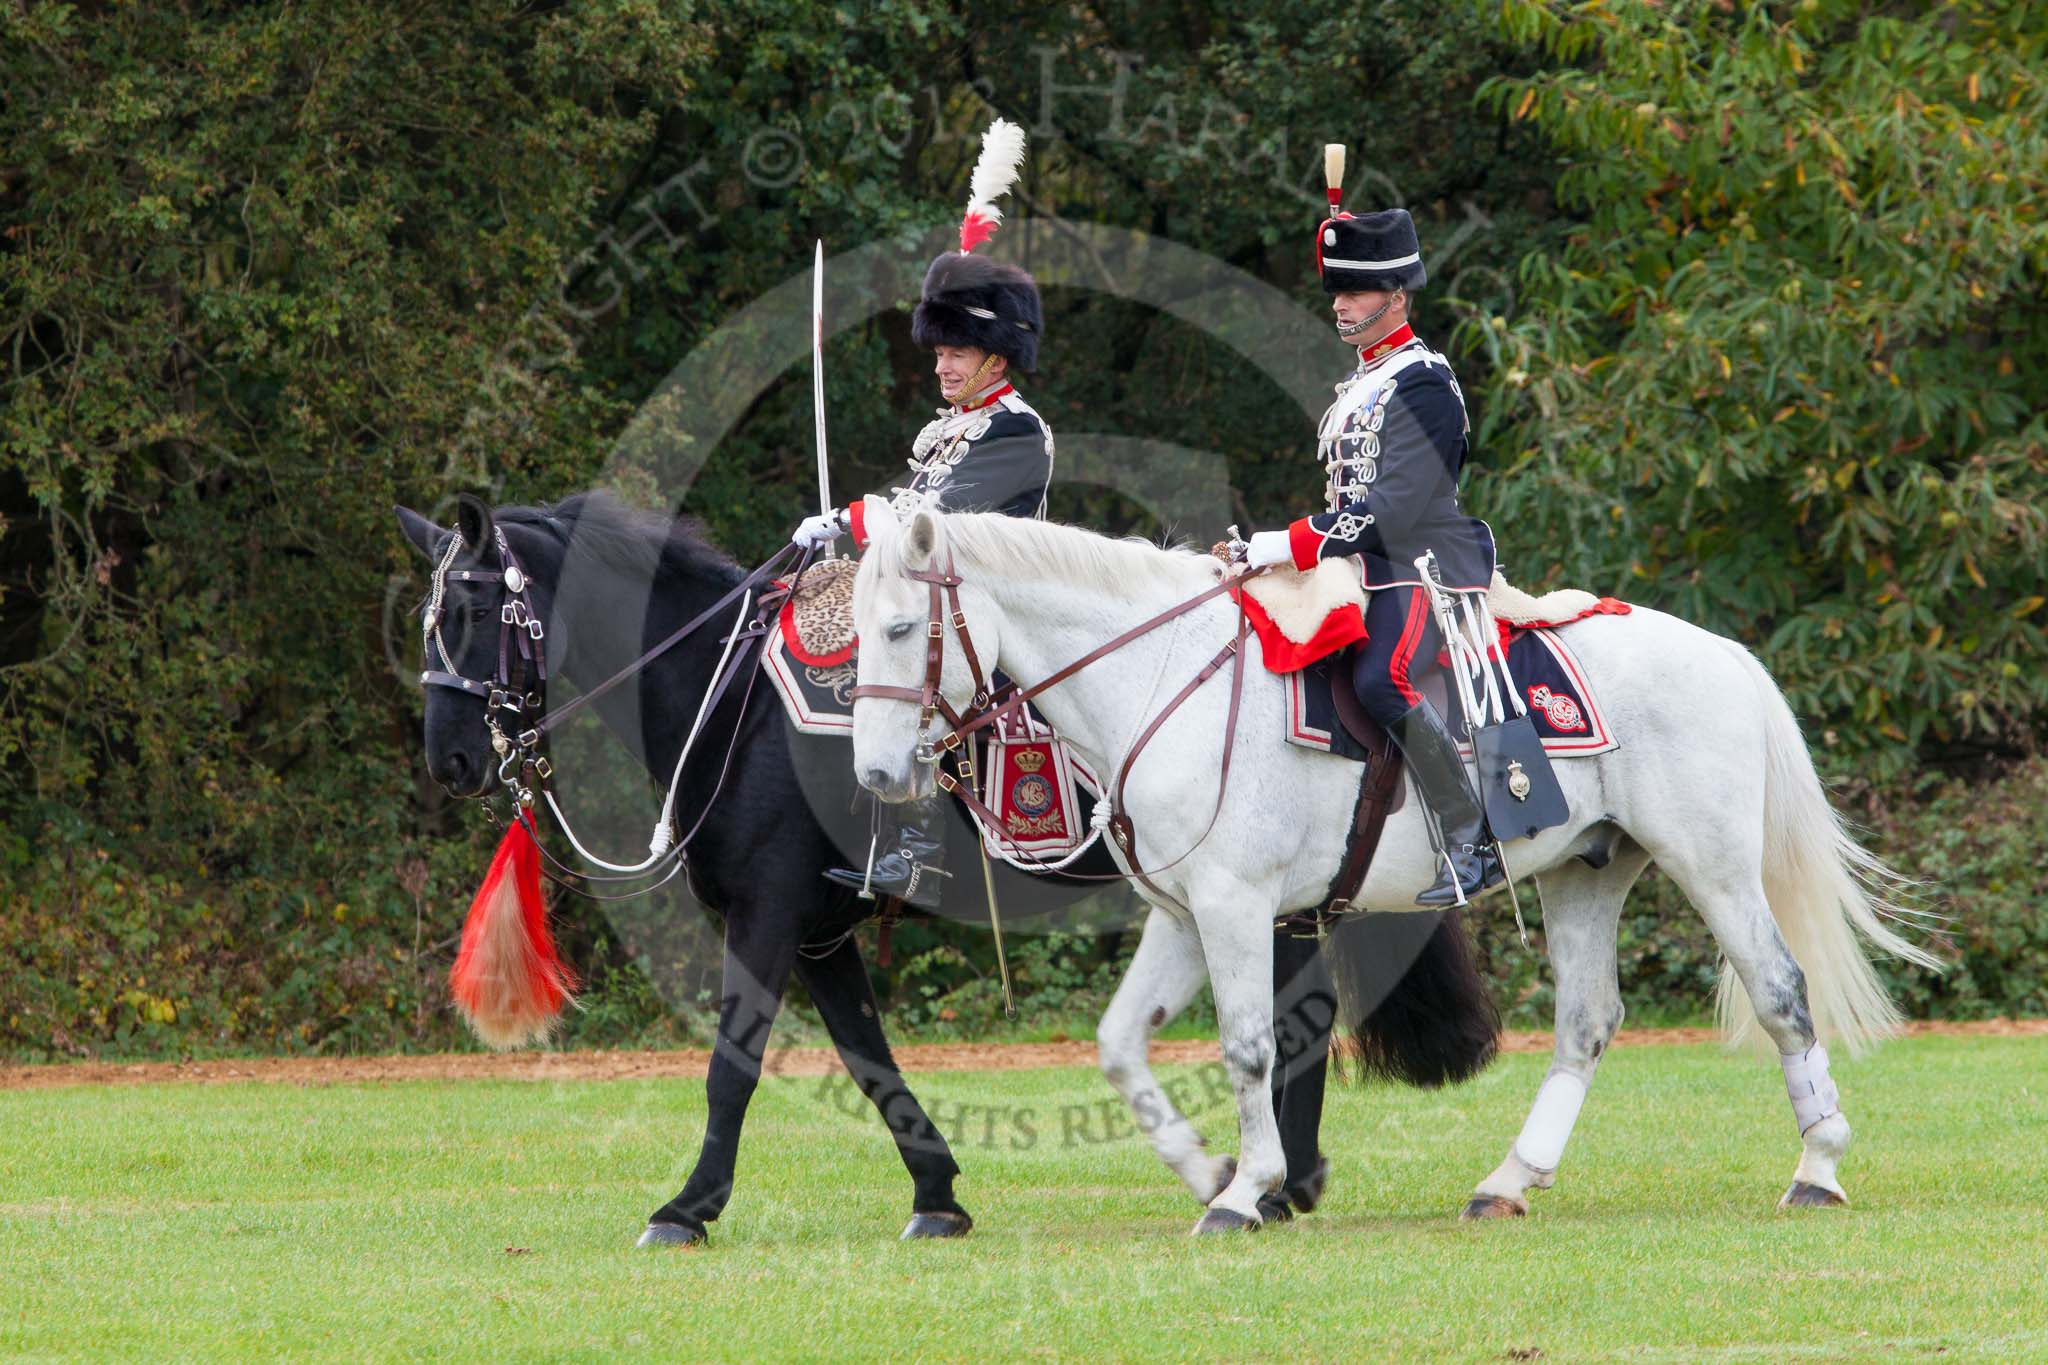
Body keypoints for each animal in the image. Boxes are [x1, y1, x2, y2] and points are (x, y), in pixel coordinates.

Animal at [395, 493, 1507, 1252]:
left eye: (471, 606)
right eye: (427, 614)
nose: (449, 759)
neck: (731, 701)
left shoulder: (764, 915)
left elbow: (733, 1064)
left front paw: (686, 1207)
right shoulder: (818, 931)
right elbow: (868, 1058)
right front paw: (936, 1193)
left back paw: (1274, 1180)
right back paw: (1282, 1178)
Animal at [847, 505, 1933, 1236]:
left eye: (901, 629)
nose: (874, 775)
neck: (1162, 677)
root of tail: (1721, 654)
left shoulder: (1234, 906)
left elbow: (1247, 1048)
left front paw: (1244, 1191)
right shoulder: (1184, 913)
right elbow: (1120, 1045)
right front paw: (1209, 1171)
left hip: (1712, 868)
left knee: (1781, 990)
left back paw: (1818, 1168)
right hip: (1585, 873)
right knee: (1587, 1021)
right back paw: (1507, 1181)